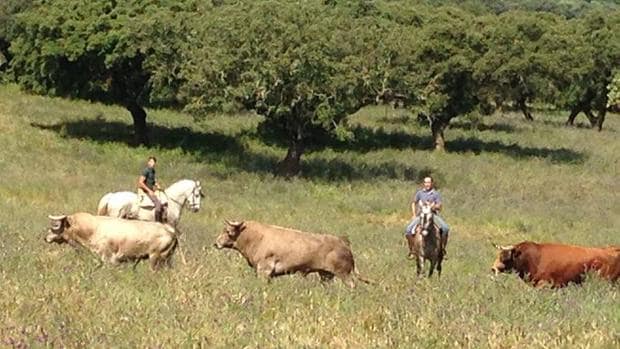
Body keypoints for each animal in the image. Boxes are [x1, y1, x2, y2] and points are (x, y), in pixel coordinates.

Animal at [45, 209, 177, 270]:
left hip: (156, 258)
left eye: (56, 225)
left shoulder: (108, 258)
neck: (93, 229)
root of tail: (169, 229)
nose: (45, 237)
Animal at [214, 219, 368, 286]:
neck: (255, 237)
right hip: (325, 275)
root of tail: (343, 242)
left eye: (227, 231)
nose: (216, 243)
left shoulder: (264, 270)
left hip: (343, 274)